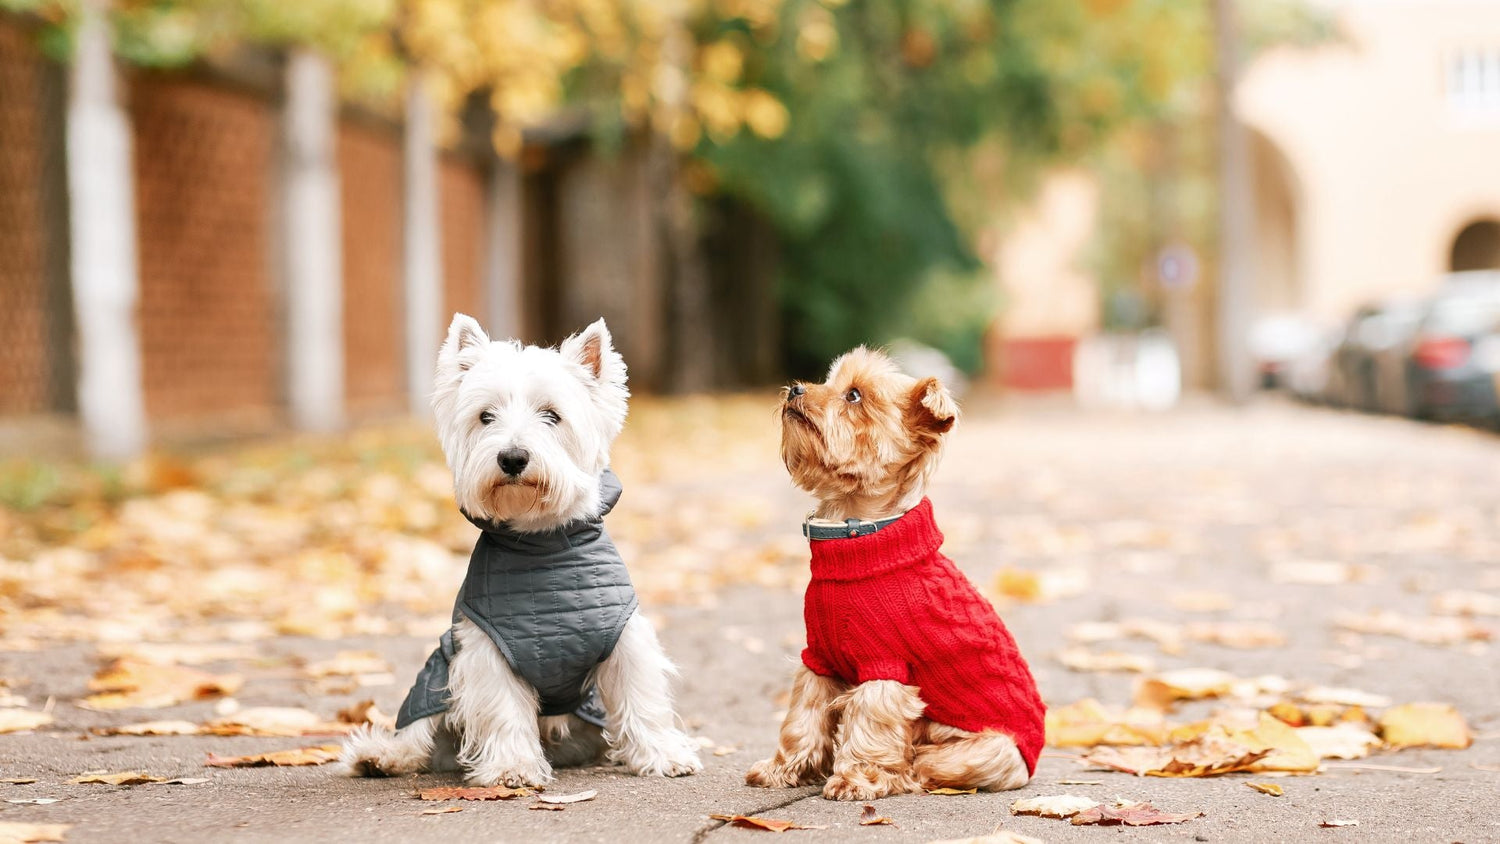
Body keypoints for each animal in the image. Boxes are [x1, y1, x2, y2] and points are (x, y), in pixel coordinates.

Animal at [343, 314, 705, 785]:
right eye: (485, 416)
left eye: (552, 415)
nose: (512, 458)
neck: (543, 546)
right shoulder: (487, 649)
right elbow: (503, 708)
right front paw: (512, 767)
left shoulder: (625, 637)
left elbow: (640, 696)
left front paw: (663, 755)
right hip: (437, 671)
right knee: (418, 730)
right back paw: (381, 756)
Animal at [747, 350, 1044, 803]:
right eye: (827, 381)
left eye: (854, 395)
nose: (796, 388)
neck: (856, 536)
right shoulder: (818, 660)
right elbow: (802, 716)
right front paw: (783, 769)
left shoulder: (884, 668)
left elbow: (869, 724)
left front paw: (855, 779)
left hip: (985, 750)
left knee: (924, 764)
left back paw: (900, 774)